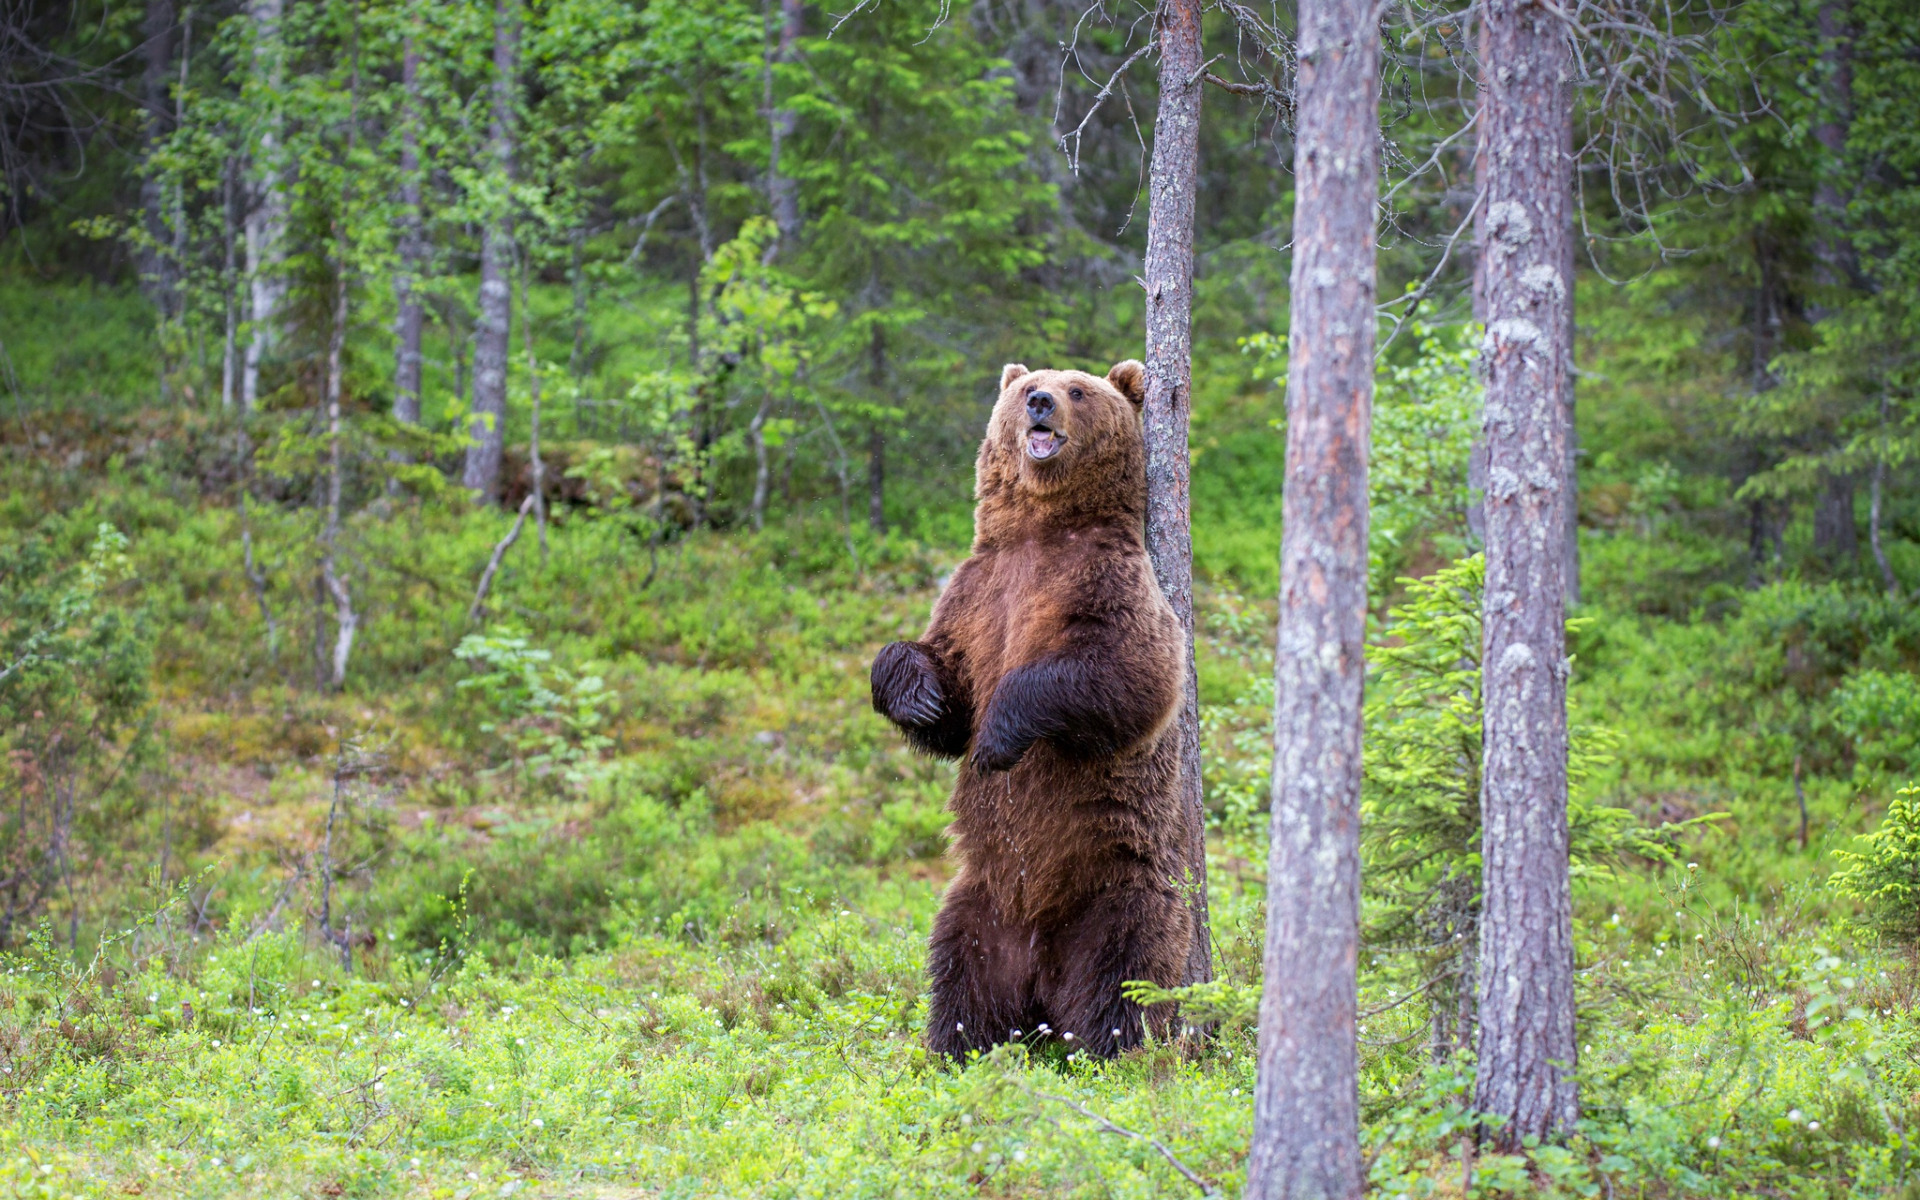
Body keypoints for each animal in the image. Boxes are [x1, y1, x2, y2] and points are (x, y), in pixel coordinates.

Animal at [879, 355, 1190, 1059]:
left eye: (1078, 389)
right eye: (1027, 386)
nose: (1041, 402)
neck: (1041, 531)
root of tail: (1041, 971)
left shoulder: (1108, 583)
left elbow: (1128, 672)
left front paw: (998, 736)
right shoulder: (974, 594)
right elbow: (944, 682)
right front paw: (919, 694)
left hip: (1115, 887)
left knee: (1124, 971)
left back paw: (1109, 1050)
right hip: (981, 902)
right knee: (961, 973)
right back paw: (956, 1047)